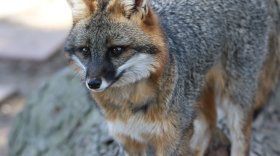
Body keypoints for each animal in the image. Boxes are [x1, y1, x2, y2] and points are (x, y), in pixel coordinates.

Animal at [63, 0, 280, 155]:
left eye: (116, 50)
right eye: (85, 51)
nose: (93, 83)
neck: (129, 104)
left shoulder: (172, 138)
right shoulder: (128, 139)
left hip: (234, 97)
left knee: (242, 138)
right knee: (211, 121)